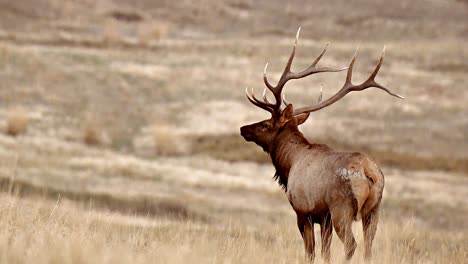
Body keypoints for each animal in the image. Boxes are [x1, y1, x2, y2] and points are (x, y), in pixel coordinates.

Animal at [239, 27, 404, 260]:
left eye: (265, 124)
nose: (243, 128)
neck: (289, 165)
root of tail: (369, 172)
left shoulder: (304, 211)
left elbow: (311, 252)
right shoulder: (324, 218)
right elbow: (326, 252)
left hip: (341, 209)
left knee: (351, 245)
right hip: (374, 209)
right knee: (368, 247)